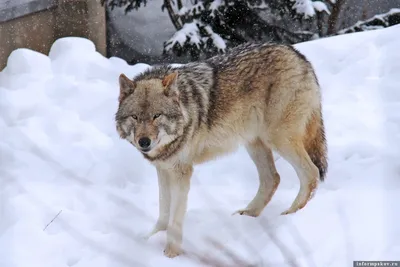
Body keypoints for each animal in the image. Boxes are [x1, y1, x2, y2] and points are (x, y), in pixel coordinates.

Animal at [114, 42, 326, 260]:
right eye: (135, 117)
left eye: (156, 116)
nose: (144, 142)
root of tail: (297, 54)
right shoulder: (163, 169)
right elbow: (164, 212)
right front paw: (149, 239)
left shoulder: (181, 172)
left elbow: (175, 218)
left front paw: (171, 254)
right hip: (254, 143)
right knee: (272, 178)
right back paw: (249, 214)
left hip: (278, 139)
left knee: (311, 173)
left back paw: (291, 215)